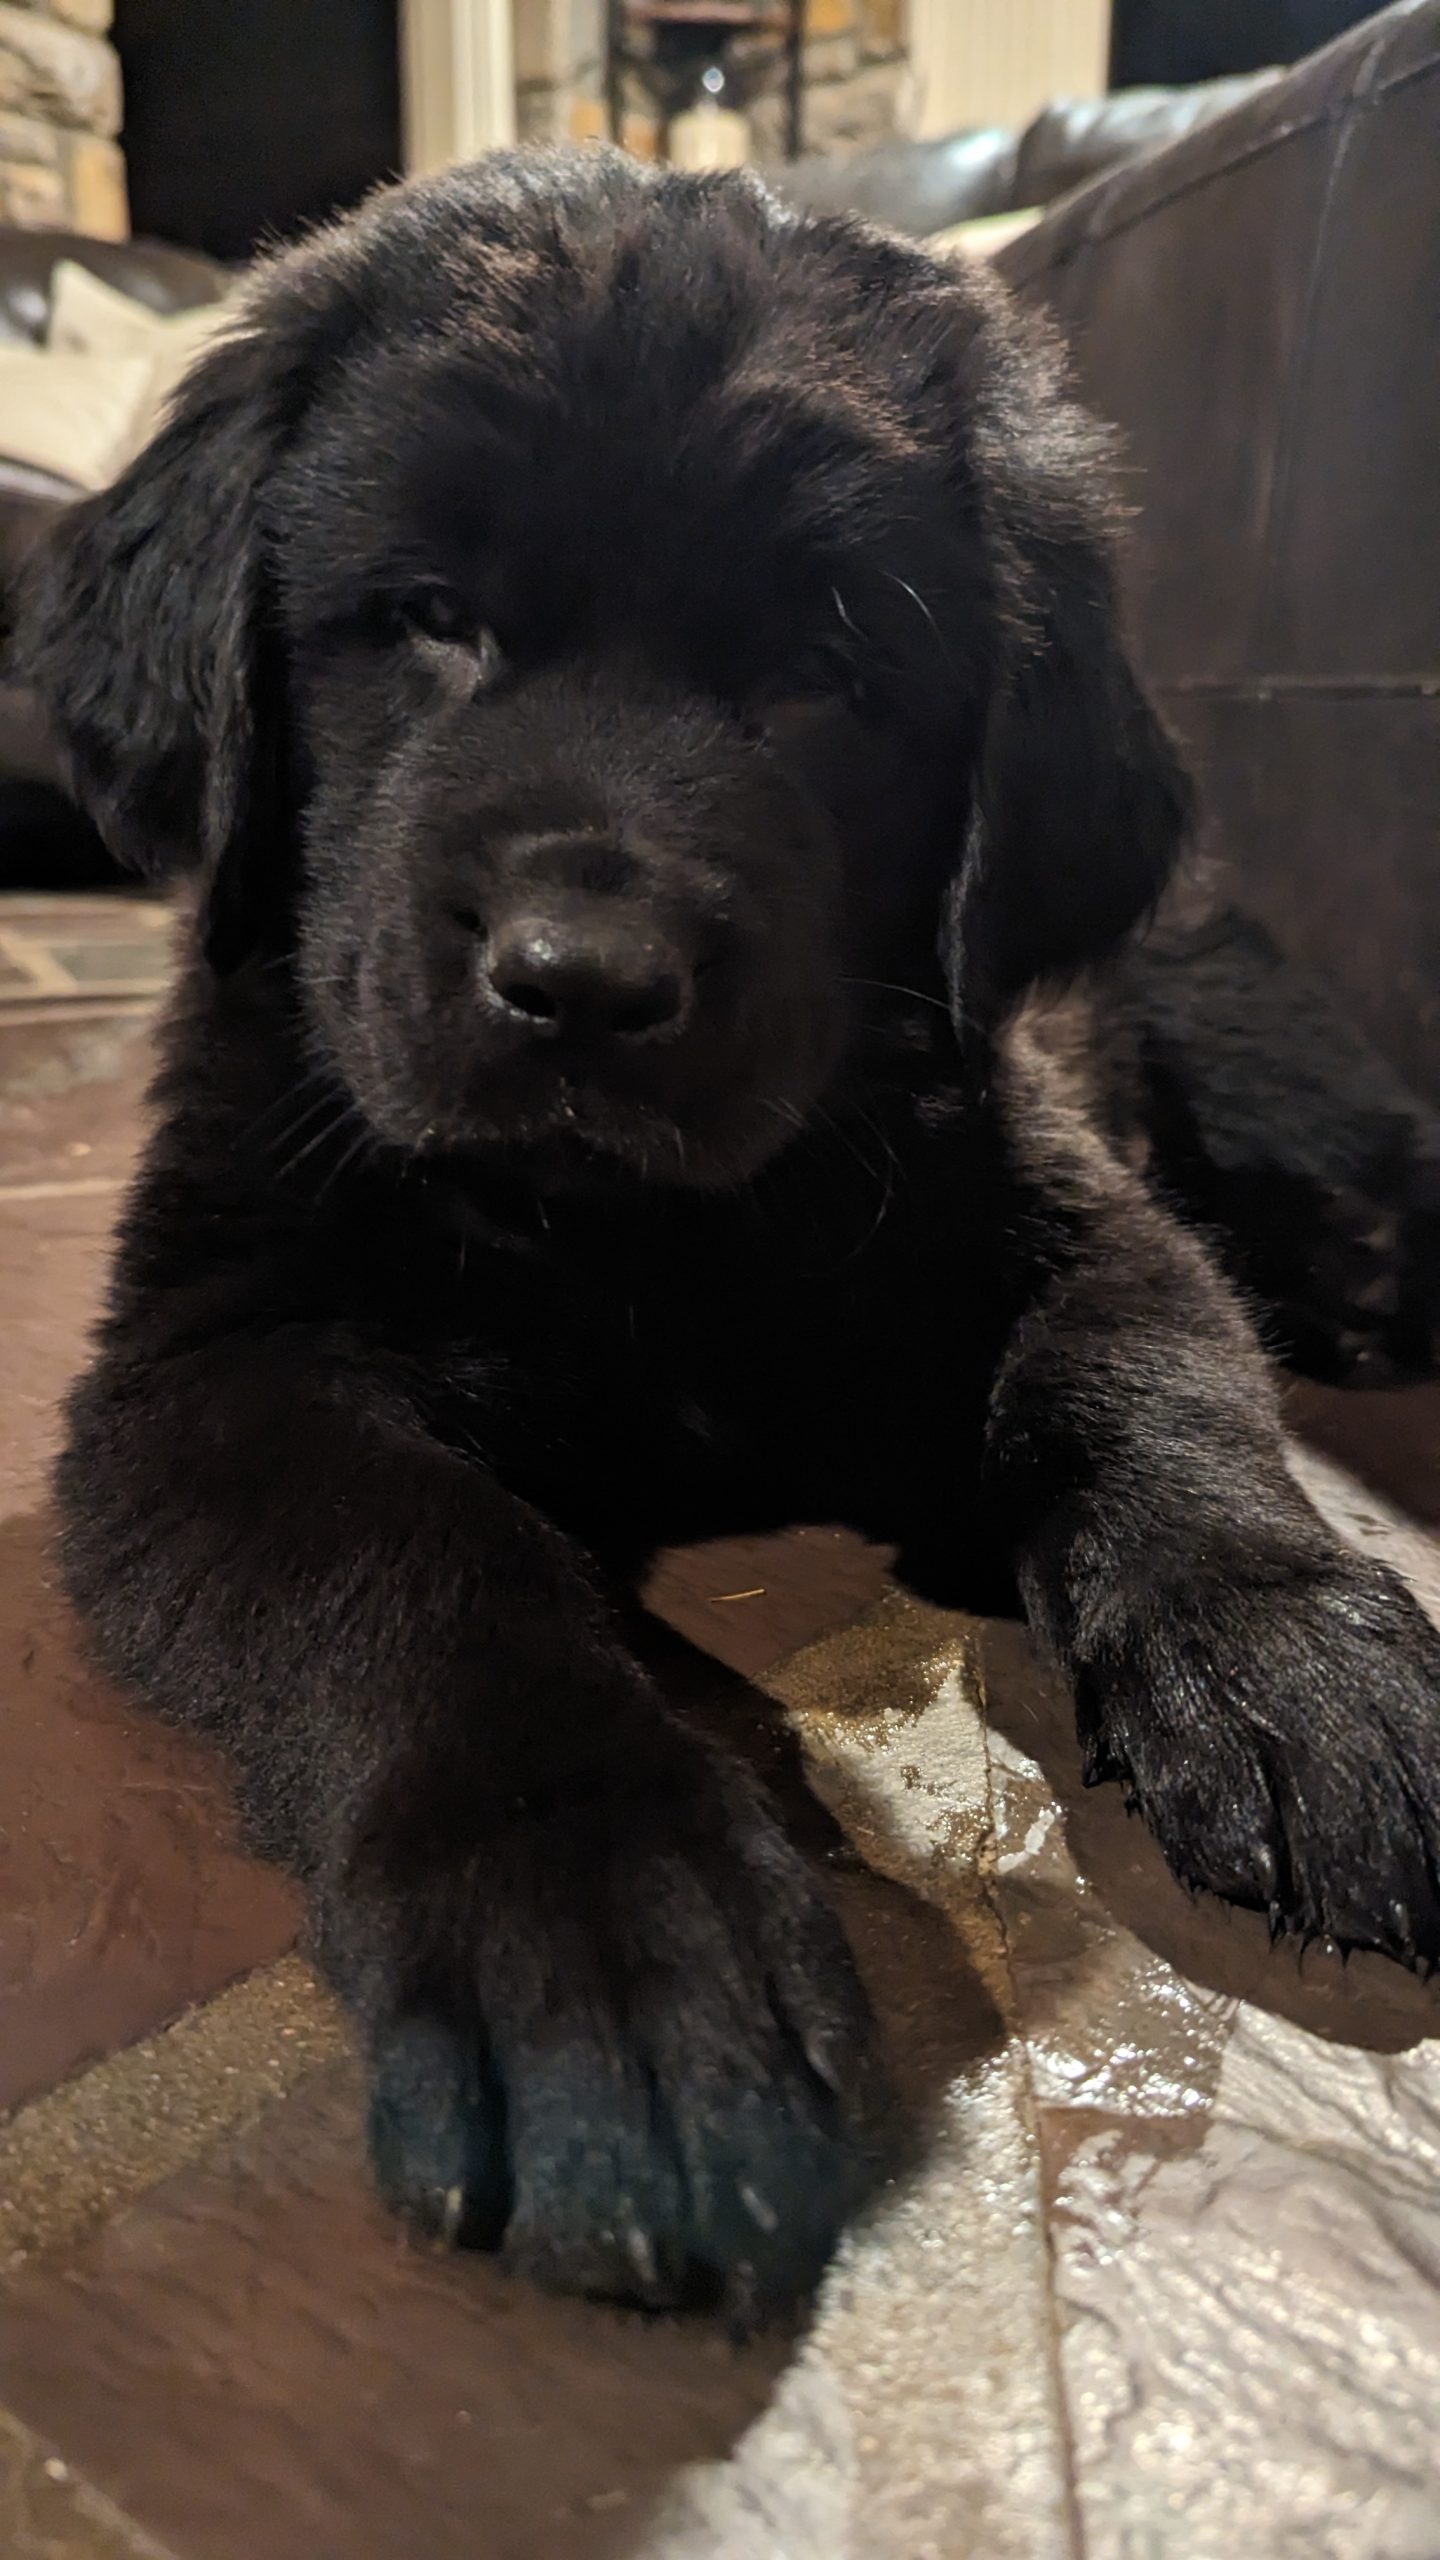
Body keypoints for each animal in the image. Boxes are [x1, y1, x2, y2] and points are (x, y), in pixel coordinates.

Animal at [22, 154, 1434, 2324]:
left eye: (831, 667)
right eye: (429, 621)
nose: (582, 978)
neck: (640, 1237)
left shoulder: (1057, 1192)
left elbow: (1151, 1383)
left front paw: (1297, 1657)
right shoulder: (217, 1357)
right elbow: (418, 1559)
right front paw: (607, 1931)